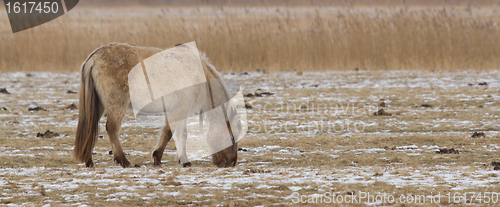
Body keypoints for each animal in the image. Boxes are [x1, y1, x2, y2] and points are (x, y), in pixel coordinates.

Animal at [73, 42, 239, 168]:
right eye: (232, 137)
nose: (231, 163)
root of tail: (94, 58)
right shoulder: (179, 109)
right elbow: (170, 132)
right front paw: (159, 158)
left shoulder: (179, 110)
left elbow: (180, 134)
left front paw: (181, 160)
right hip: (117, 104)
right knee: (112, 129)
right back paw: (124, 161)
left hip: (99, 105)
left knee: (91, 127)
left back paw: (89, 161)